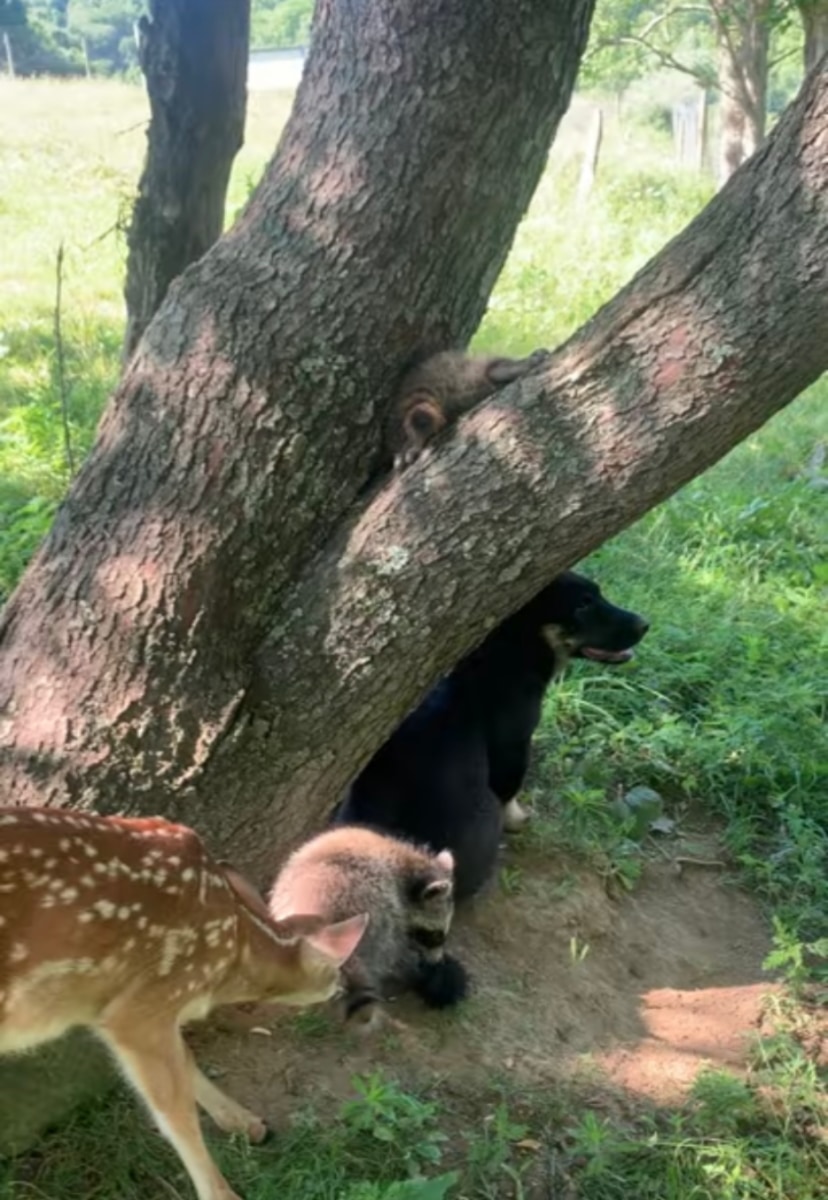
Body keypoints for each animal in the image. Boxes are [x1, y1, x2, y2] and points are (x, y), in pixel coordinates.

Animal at [267, 825, 468, 1032]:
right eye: (434, 935)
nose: (436, 962)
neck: (408, 865)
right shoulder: (391, 898)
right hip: (373, 915)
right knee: (387, 949)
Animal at [331, 571, 648, 902]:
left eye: (598, 594)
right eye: (583, 605)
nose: (645, 624)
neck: (509, 646)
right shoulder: (515, 744)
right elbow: (511, 788)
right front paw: (519, 819)